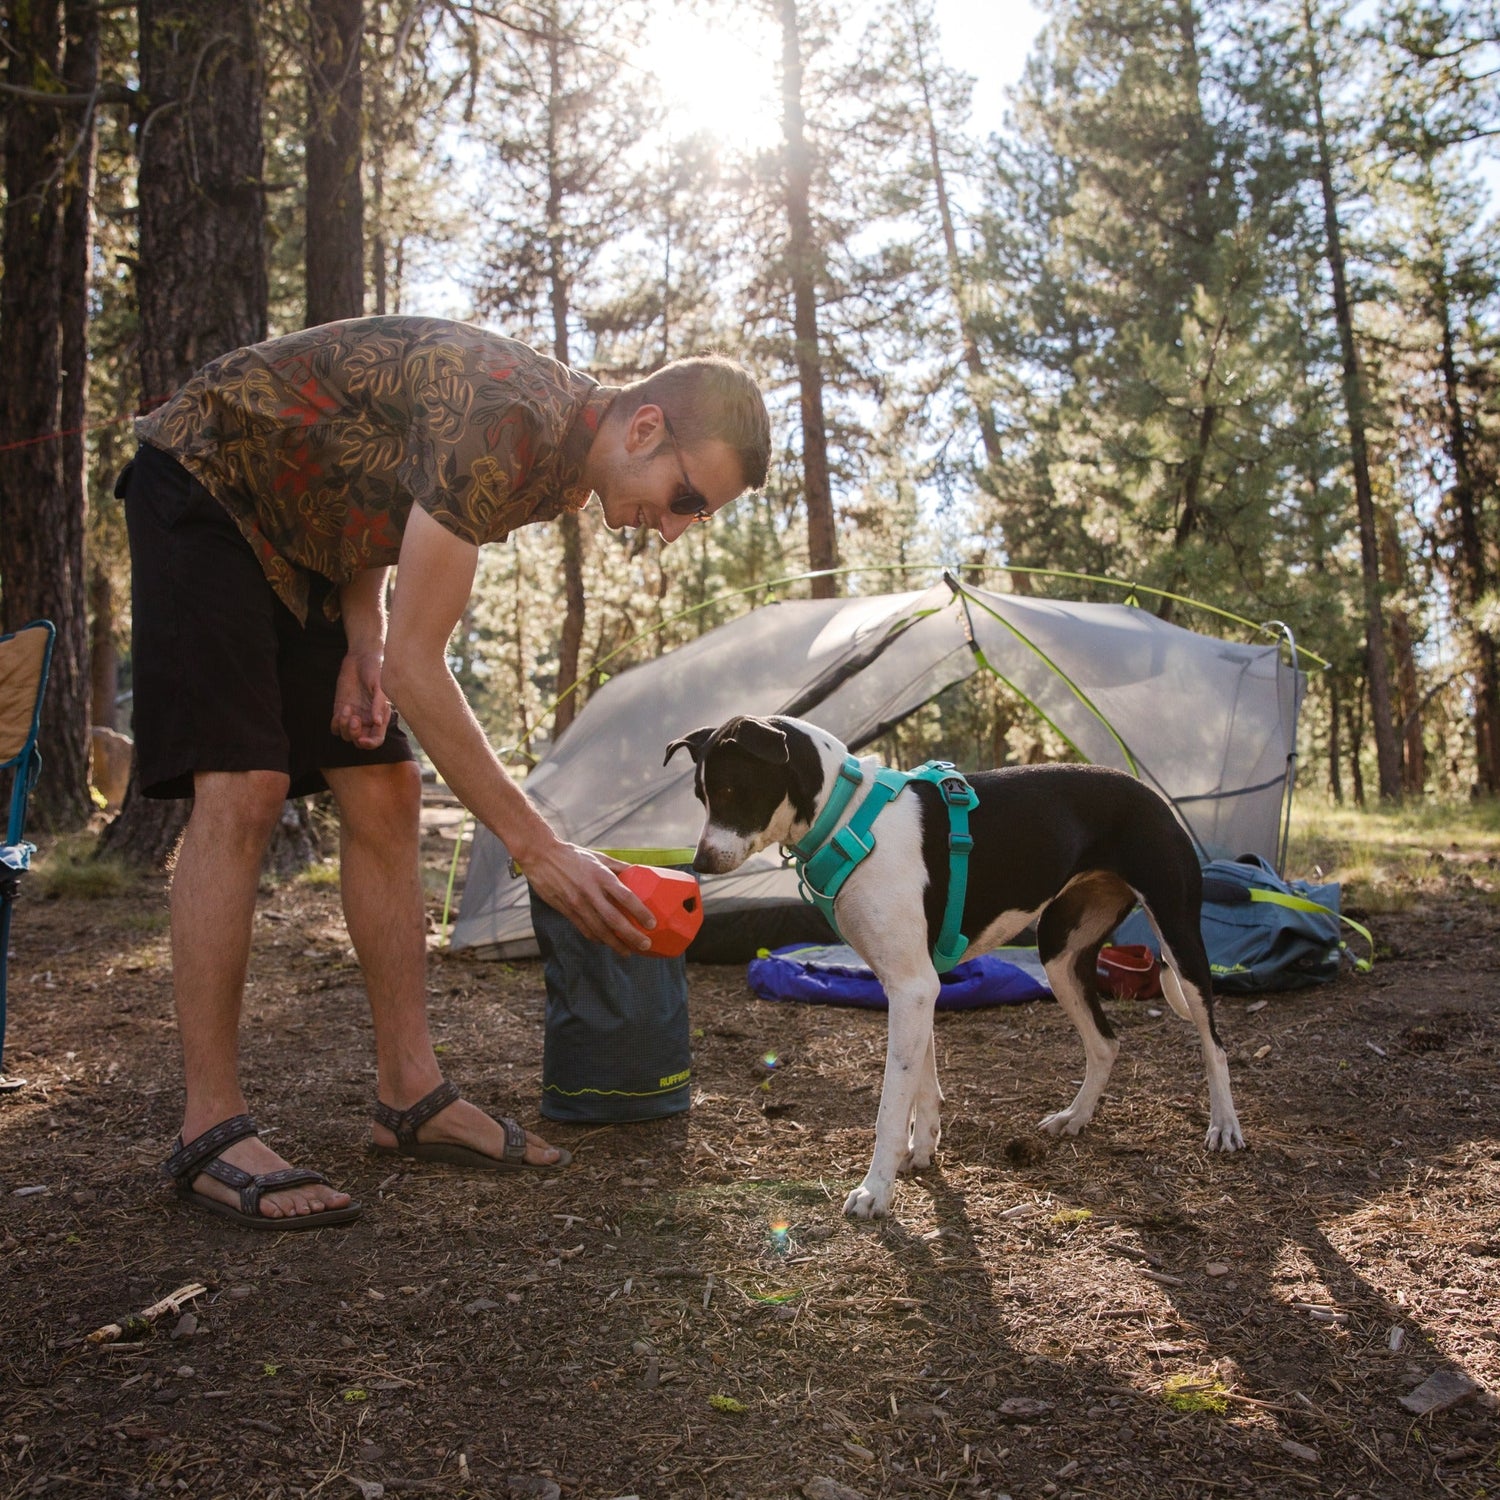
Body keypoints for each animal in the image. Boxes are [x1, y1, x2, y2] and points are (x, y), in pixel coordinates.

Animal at [666, 714, 1242, 1218]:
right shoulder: (913, 986)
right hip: (1060, 954)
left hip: (1179, 938)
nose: (699, 863)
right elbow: (924, 1082)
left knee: (1213, 1042)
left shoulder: (912, 988)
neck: (847, 816)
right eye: (699, 796)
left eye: (732, 790)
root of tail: (1151, 795)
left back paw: (1224, 1126)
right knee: (1105, 1042)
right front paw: (921, 1151)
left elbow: (891, 1106)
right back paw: (1076, 1117)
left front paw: (876, 1190)